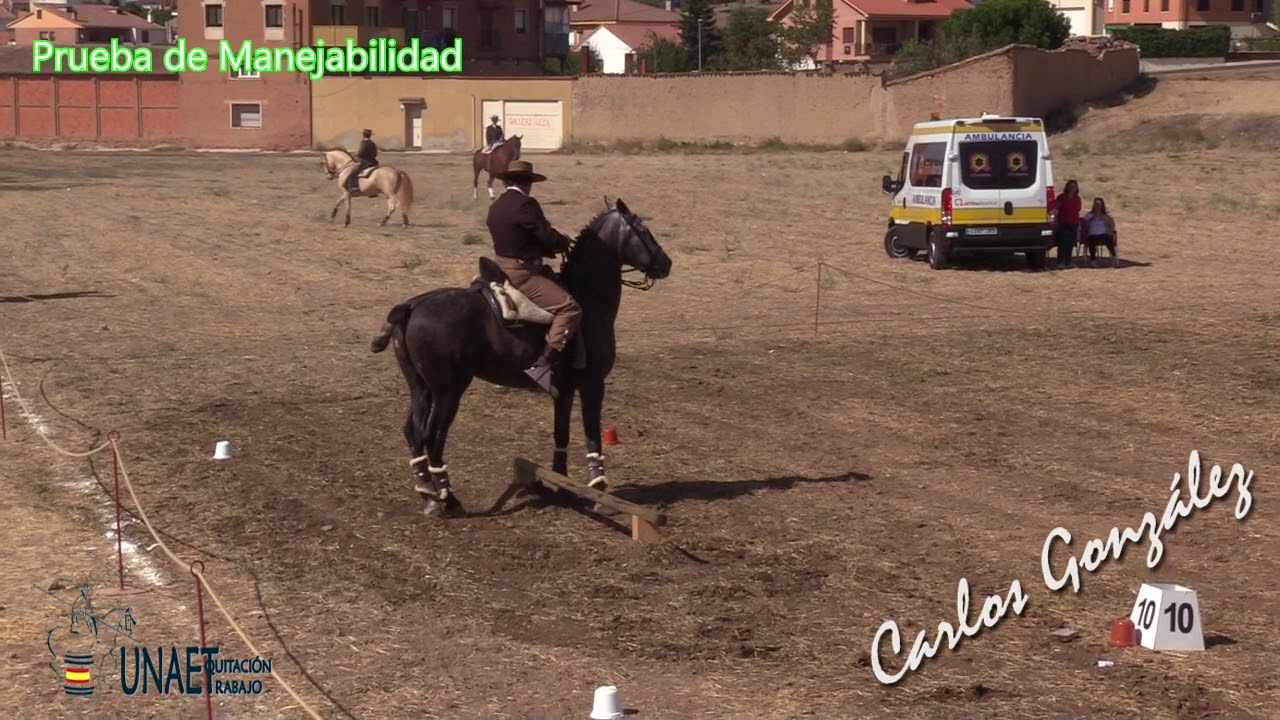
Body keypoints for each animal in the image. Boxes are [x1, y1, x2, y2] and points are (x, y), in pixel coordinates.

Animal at [368, 197, 673, 518]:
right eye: (643, 230)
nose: (666, 263)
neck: (588, 297)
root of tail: (412, 306)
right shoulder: (592, 384)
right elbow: (592, 434)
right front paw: (598, 490)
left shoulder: (564, 390)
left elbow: (561, 434)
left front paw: (562, 486)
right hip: (448, 391)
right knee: (433, 438)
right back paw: (448, 500)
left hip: (421, 389)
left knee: (414, 433)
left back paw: (428, 495)